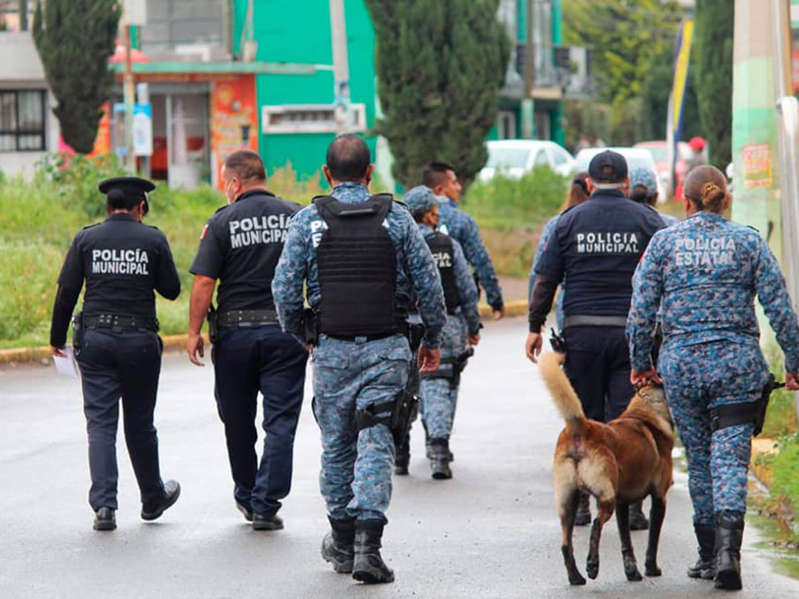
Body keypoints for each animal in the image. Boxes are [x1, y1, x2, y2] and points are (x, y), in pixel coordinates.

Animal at [536, 352, 676, 584]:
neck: (646, 411)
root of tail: (581, 427)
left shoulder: (622, 502)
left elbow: (626, 541)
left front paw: (632, 572)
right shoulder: (659, 498)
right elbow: (652, 542)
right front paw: (651, 569)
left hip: (568, 501)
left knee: (566, 544)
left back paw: (576, 577)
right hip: (605, 495)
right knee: (595, 524)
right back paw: (592, 565)